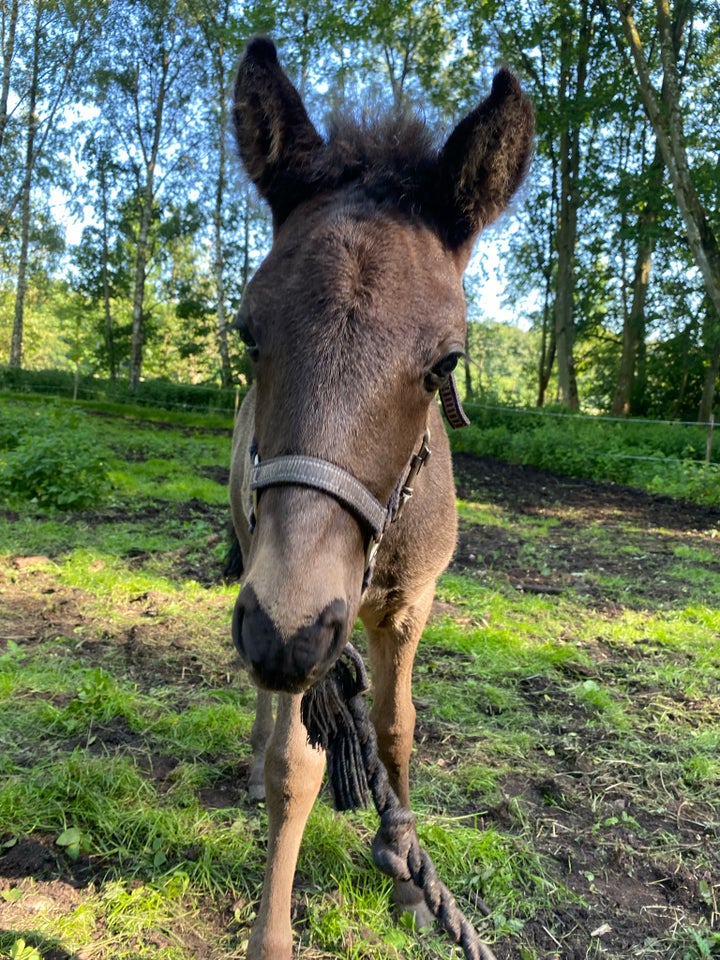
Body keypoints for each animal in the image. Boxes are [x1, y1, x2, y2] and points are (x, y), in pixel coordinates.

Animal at [231, 39, 536, 960]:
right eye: (247, 335)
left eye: (444, 365)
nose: (288, 634)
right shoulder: (297, 611)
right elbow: (295, 768)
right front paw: (272, 936)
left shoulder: (407, 604)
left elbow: (398, 728)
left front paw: (404, 870)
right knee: (273, 721)